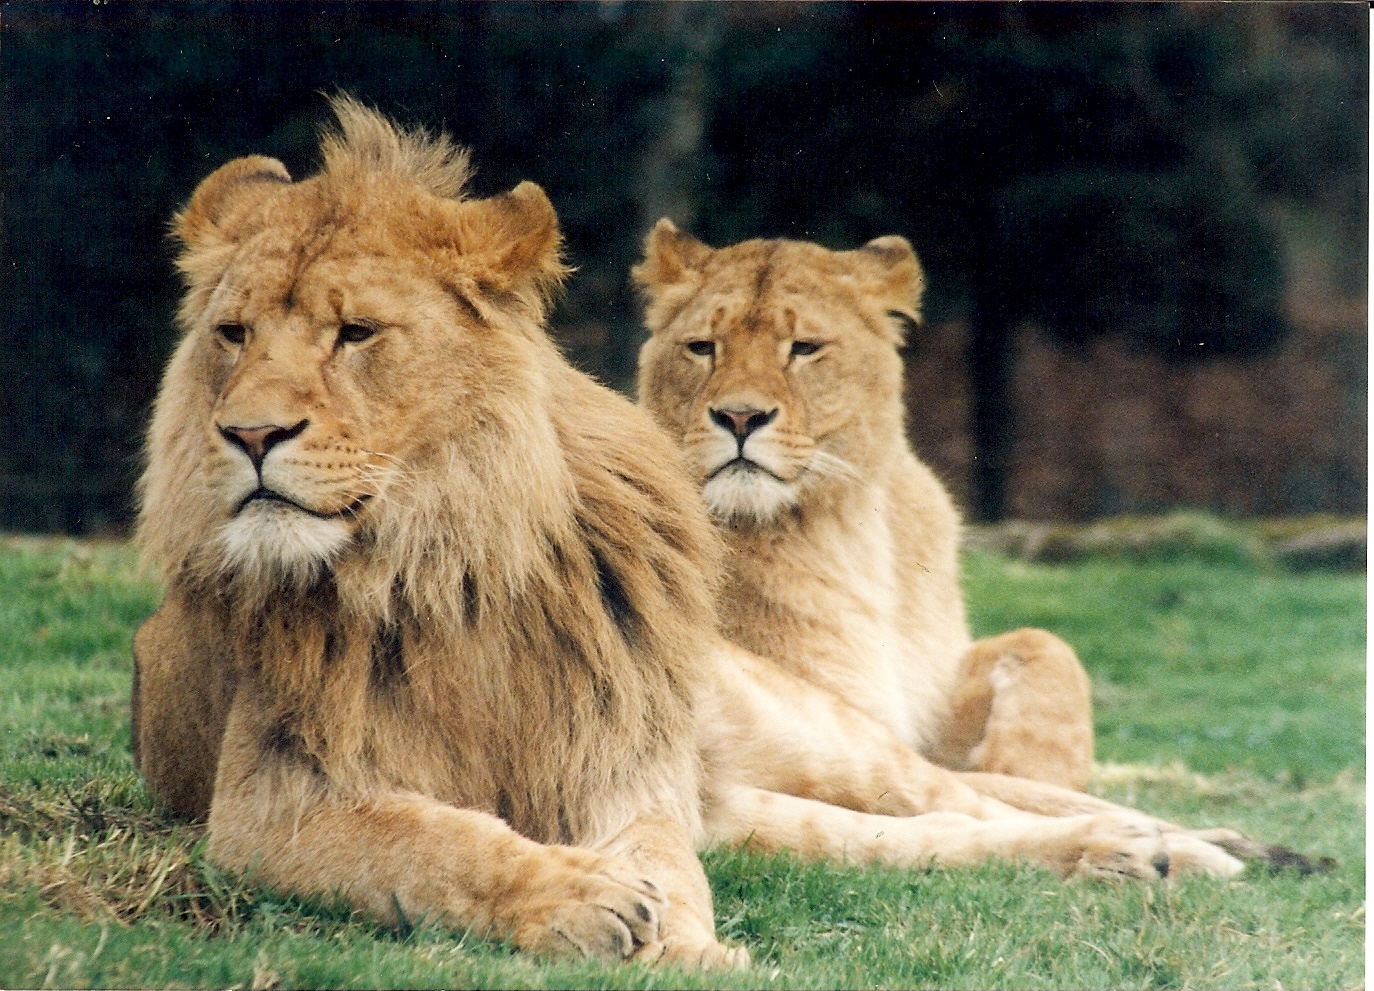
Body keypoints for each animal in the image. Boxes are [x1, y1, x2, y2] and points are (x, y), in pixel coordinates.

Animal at [633, 220, 1323, 872]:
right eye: (702, 348)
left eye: (804, 348)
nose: (739, 418)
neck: (853, 522)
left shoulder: (927, 689)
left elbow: (1044, 650)